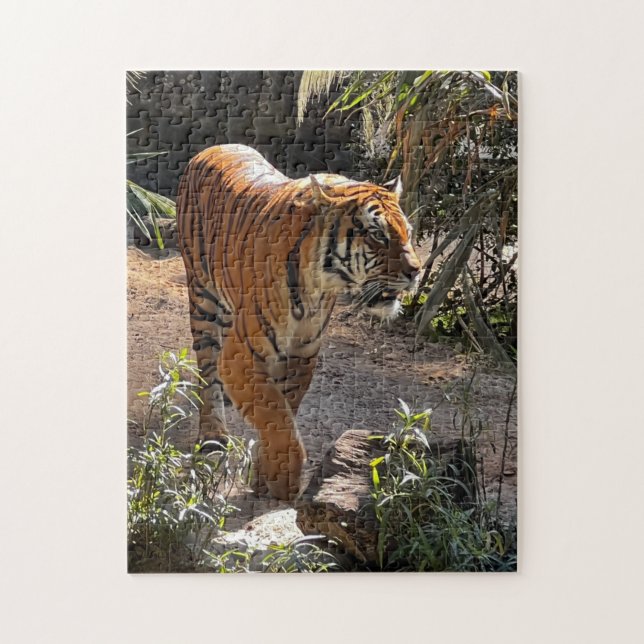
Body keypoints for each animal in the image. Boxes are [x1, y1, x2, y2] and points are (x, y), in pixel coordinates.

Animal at [176, 144, 421, 502]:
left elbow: (283, 411)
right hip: (203, 299)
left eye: (408, 233)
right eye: (378, 235)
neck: (319, 286)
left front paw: (267, 474)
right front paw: (284, 479)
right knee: (207, 373)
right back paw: (212, 437)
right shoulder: (242, 354)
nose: (416, 271)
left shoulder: (302, 353)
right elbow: (274, 413)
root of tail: (213, 147)